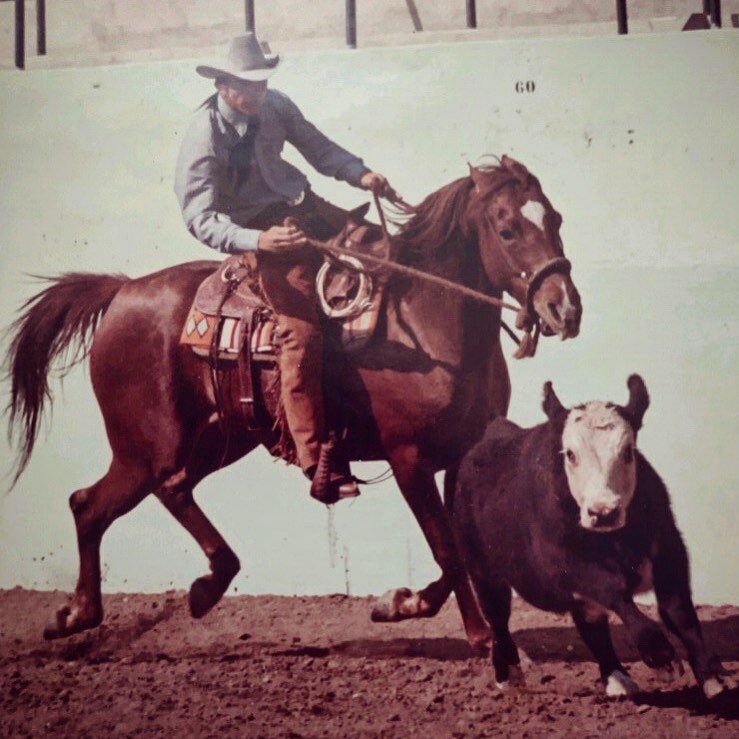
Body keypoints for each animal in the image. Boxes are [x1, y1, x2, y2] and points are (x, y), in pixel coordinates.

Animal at [5, 156, 584, 648]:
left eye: (556, 218)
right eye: (507, 230)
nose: (566, 309)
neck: (428, 322)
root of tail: (122, 293)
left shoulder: (460, 454)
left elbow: (458, 545)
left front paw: (401, 604)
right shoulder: (409, 459)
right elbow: (447, 546)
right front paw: (477, 635)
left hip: (216, 439)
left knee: (166, 491)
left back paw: (199, 588)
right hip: (144, 449)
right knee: (90, 504)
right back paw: (79, 614)